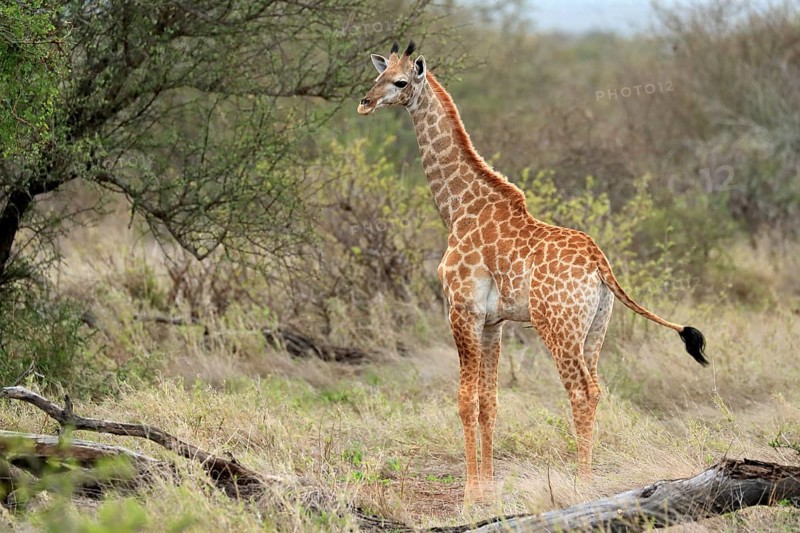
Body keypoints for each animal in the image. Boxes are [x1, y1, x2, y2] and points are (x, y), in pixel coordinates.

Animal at [357, 41, 709, 503]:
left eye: (400, 82)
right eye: (377, 75)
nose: (365, 103)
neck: (458, 209)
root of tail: (600, 264)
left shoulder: (461, 310)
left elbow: (464, 400)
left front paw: (469, 493)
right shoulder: (493, 322)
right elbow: (489, 402)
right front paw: (488, 487)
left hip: (557, 327)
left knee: (581, 391)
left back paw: (583, 484)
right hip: (596, 329)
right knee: (597, 388)